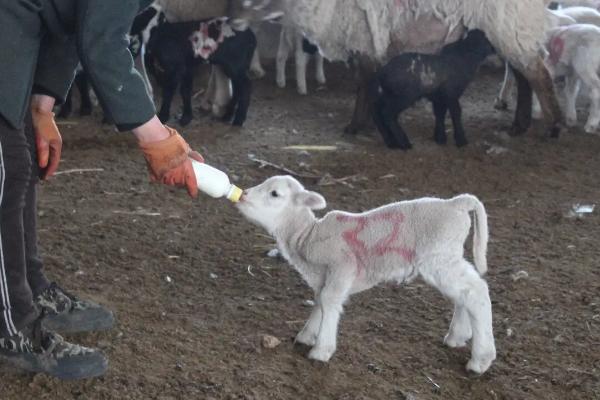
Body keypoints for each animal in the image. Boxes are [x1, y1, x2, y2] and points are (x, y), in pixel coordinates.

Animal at [237, 177, 494, 374]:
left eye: (274, 193)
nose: (243, 195)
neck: (307, 235)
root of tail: (456, 203)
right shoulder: (323, 275)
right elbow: (319, 299)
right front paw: (307, 334)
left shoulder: (343, 266)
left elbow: (329, 300)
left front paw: (321, 350)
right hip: (447, 256)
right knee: (465, 293)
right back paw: (457, 336)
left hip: (438, 257)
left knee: (476, 291)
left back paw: (481, 359)